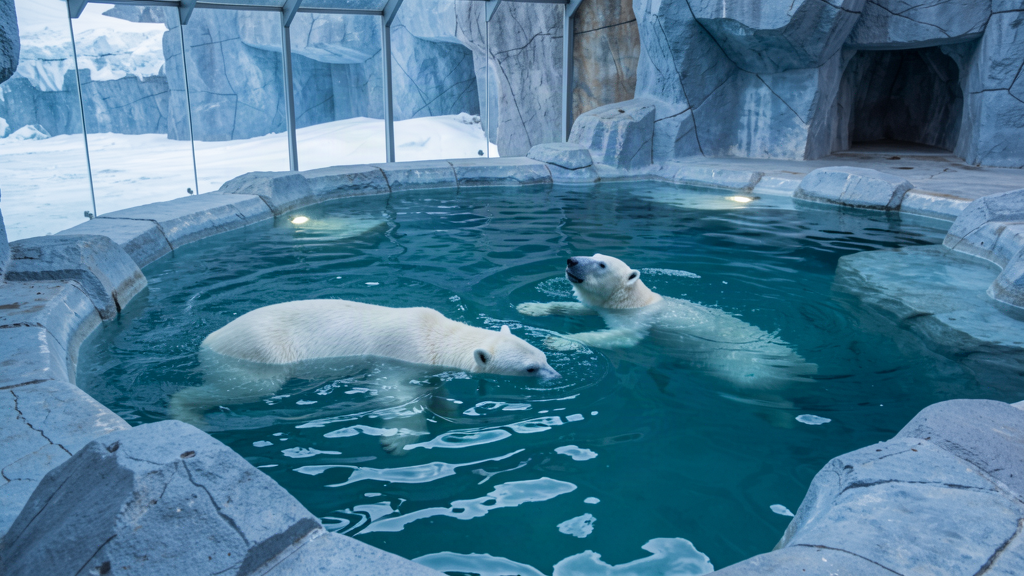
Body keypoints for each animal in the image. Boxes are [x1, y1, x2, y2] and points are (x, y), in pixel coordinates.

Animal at [169, 299, 558, 454]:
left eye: (545, 357)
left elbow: (435, 389)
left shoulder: (427, 365)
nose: (555, 376)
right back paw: (188, 415)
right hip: (261, 355)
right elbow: (396, 396)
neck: (436, 335)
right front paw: (397, 441)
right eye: (531, 368)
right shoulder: (400, 356)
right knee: (248, 388)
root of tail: (206, 343)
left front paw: (447, 410)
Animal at [517, 254, 816, 388]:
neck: (637, 300)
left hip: (746, 366)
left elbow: (621, 338)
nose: (572, 260)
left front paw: (558, 341)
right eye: (593, 255)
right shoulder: (611, 308)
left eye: (601, 265)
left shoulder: (639, 319)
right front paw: (529, 307)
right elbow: (585, 309)